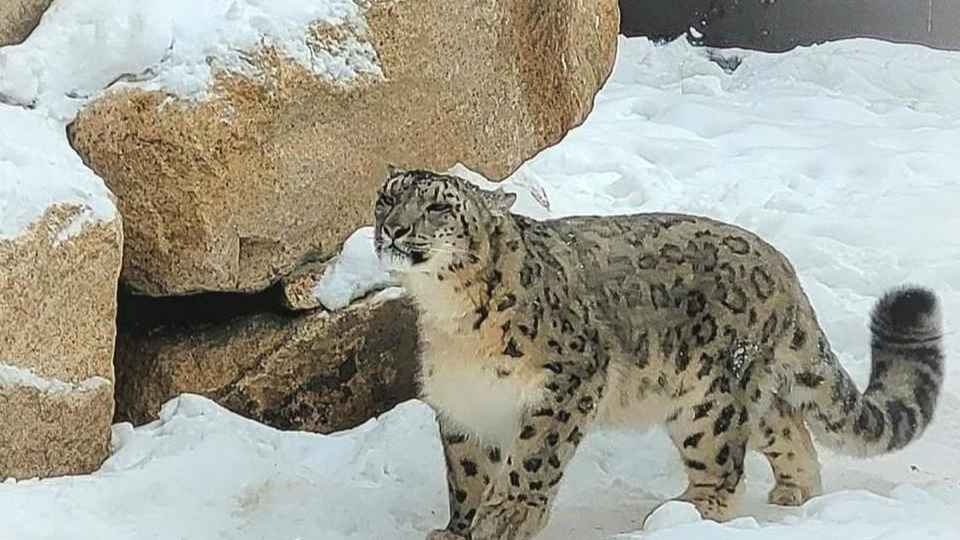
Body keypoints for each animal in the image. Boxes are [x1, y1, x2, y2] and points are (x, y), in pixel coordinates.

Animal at [374, 168, 944, 540]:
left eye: (438, 207)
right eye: (386, 198)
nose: (393, 228)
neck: (448, 316)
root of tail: (781, 265)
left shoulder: (568, 382)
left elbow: (532, 459)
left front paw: (507, 517)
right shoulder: (463, 405)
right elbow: (467, 474)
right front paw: (458, 529)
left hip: (708, 403)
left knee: (724, 463)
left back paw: (686, 513)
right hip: (744, 394)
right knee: (788, 424)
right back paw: (795, 490)